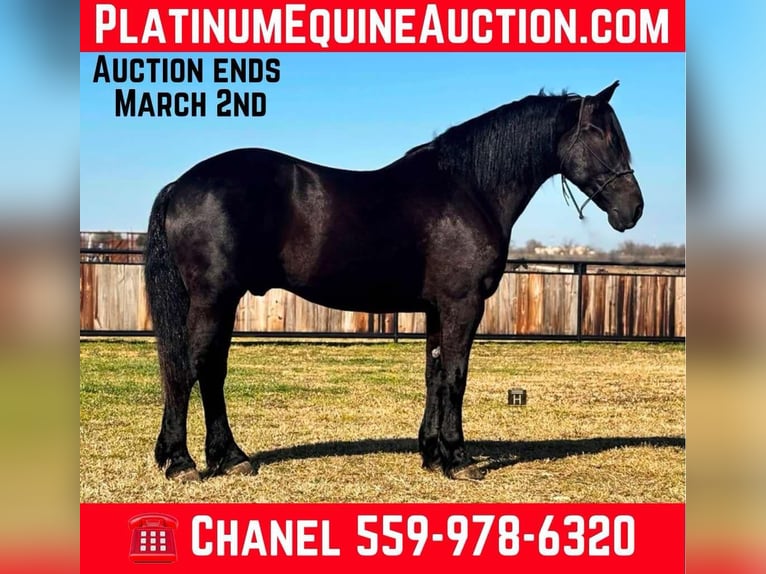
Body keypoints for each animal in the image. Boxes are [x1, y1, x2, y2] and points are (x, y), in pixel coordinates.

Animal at [145, 80, 643, 482]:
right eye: (605, 137)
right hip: (214, 299)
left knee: (207, 370)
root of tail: (179, 185)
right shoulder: (464, 303)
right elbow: (456, 375)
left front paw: (432, 454)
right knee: (188, 369)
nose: (633, 209)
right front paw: (459, 459)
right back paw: (184, 462)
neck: (468, 189)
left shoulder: (438, 308)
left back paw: (227, 458)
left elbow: (434, 374)